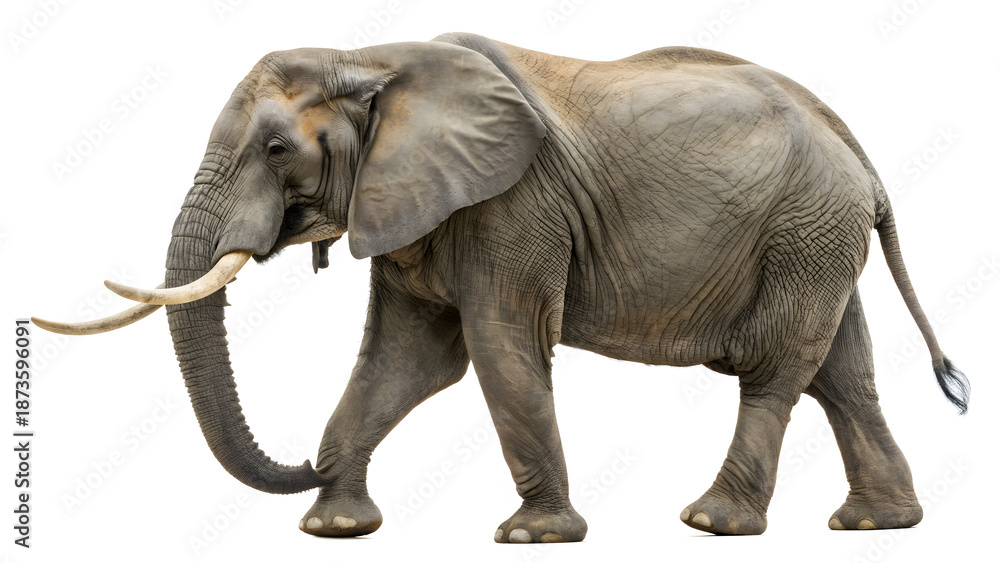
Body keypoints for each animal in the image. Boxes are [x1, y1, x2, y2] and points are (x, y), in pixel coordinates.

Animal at [35, 32, 969, 543]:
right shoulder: (414, 205)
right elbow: (406, 361)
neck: (367, 57)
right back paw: (875, 524)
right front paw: (336, 526)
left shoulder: (511, 206)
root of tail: (860, 154)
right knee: (843, 374)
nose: (304, 461)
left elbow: (498, 348)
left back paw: (712, 522)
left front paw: (532, 535)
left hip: (805, 228)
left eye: (273, 150)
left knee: (776, 368)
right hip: (815, 236)